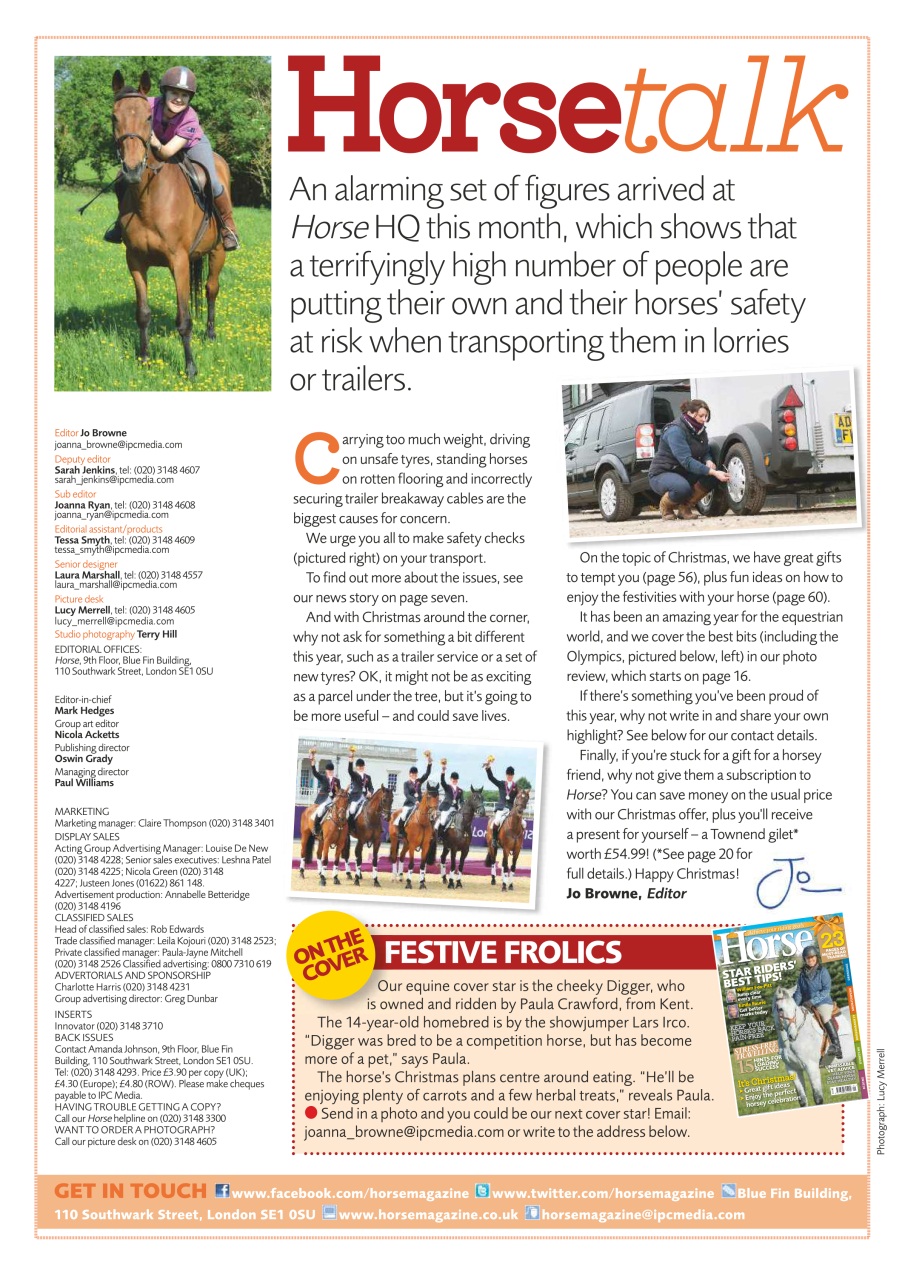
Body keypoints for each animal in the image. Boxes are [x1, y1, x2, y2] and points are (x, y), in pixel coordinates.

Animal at [110, 70, 229, 378]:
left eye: (147, 117)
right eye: (114, 117)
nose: (132, 170)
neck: (149, 199)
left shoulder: (179, 262)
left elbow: (184, 319)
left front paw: (190, 367)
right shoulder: (135, 261)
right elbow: (142, 314)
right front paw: (144, 358)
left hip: (218, 251)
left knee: (211, 289)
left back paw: (210, 334)